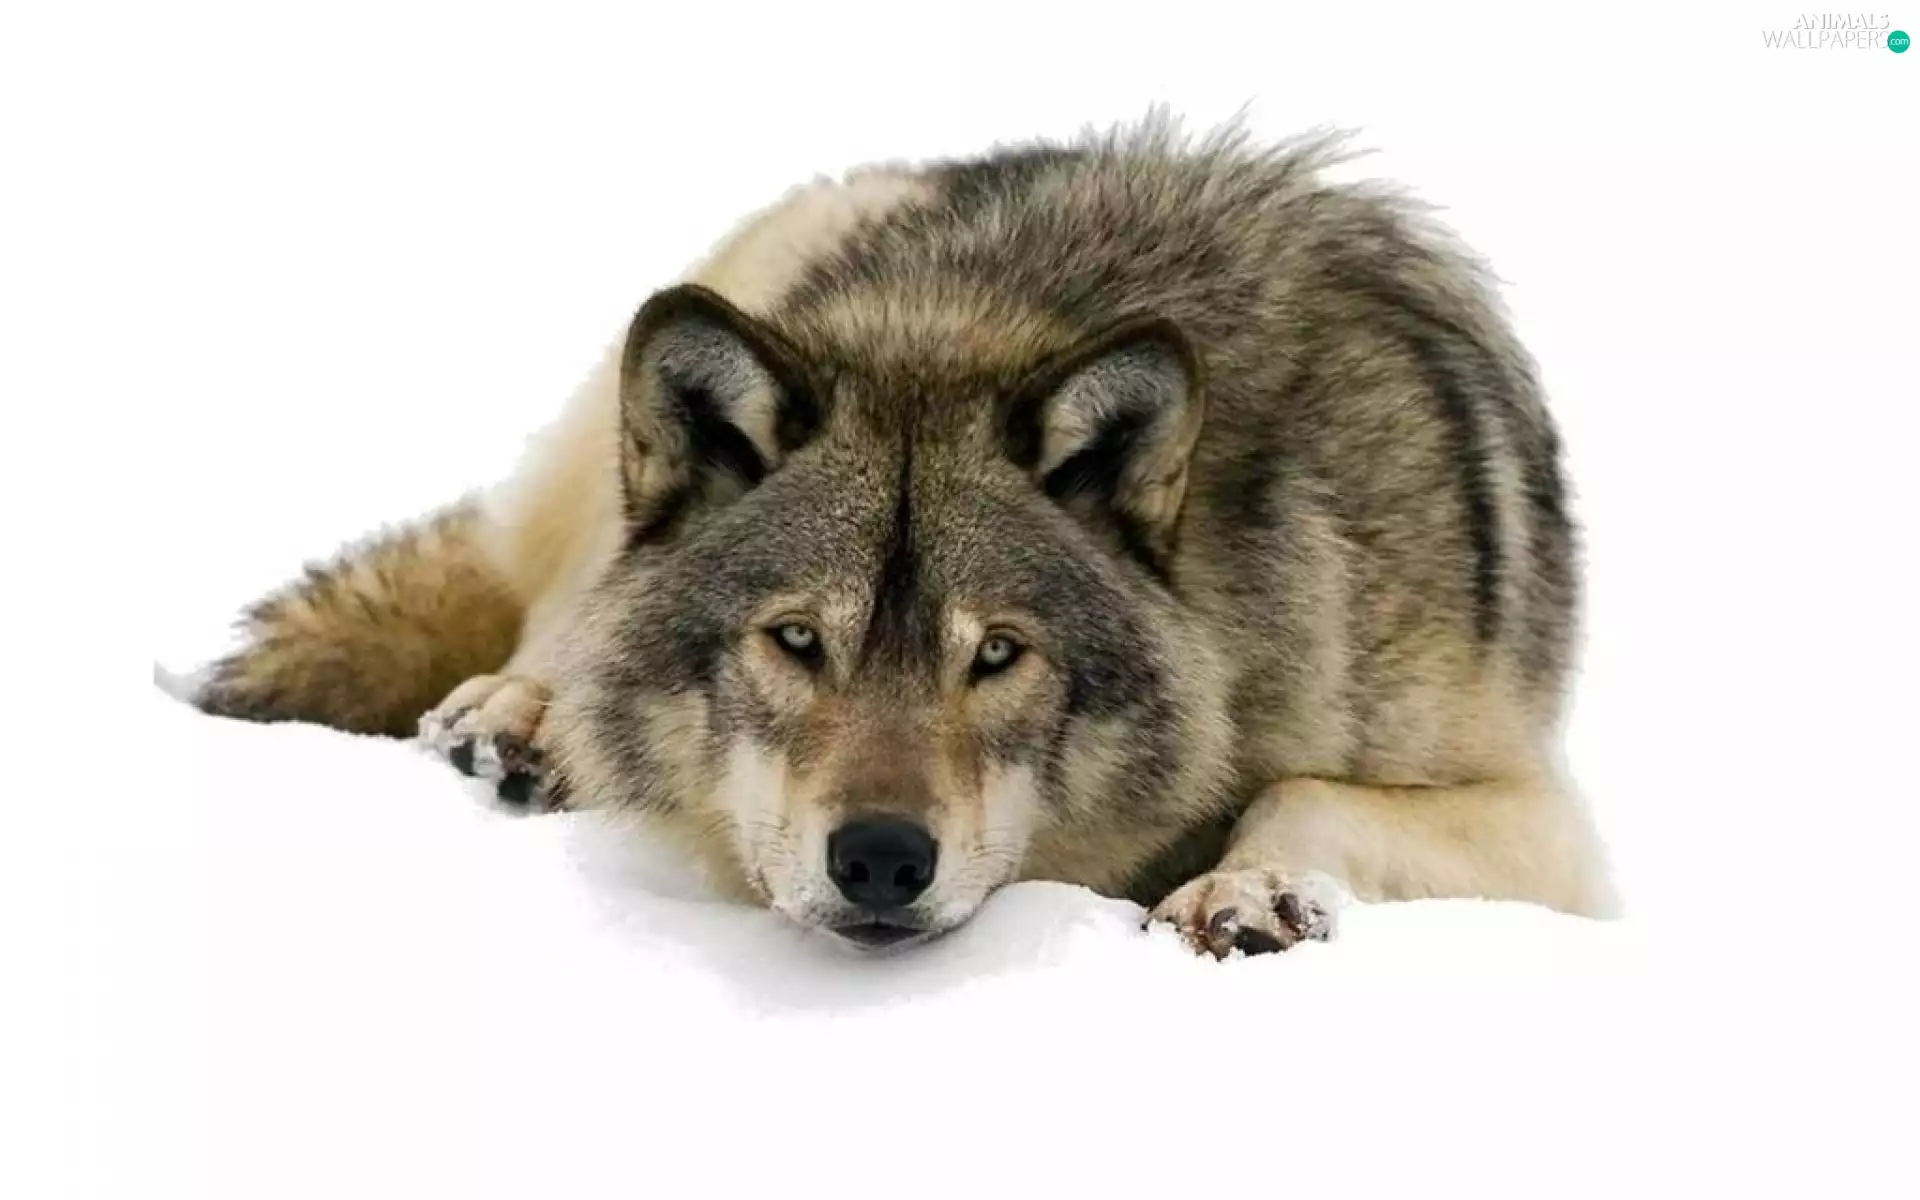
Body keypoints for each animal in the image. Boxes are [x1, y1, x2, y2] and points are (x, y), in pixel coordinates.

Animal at [190, 113, 1615, 957]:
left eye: (996, 656)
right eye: (795, 641)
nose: (880, 858)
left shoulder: (1551, 833)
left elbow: (1299, 789)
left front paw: (1243, 888)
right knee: (561, 606)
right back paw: (519, 720)